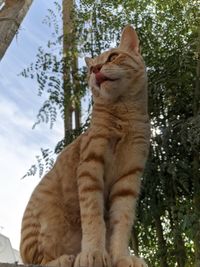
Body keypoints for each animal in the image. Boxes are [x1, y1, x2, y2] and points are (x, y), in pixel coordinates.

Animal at [19, 25, 150, 267]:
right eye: (90, 69)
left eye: (113, 56)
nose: (96, 69)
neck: (124, 115)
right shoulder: (90, 167)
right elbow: (93, 217)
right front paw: (93, 253)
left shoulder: (128, 179)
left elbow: (122, 222)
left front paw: (120, 257)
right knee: (37, 261)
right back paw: (65, 259)